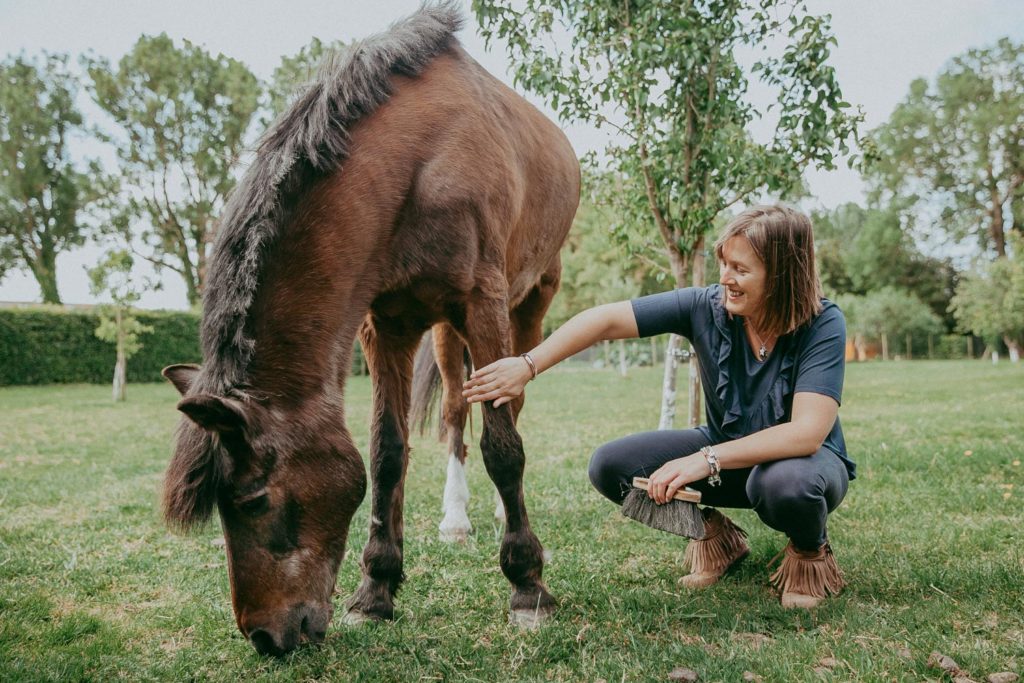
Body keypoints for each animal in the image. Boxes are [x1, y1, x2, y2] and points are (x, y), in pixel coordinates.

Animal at [157, 2, 577, 659]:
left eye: (253, 500)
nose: (265, 637)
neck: (417, 167)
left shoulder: (483, 304)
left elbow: (503, 448)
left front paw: (527, 587)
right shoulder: (386, 325)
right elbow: (386, 453)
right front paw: (377, 590)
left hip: (527, 307)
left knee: (509, 406)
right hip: (444, 334)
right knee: (455, 411)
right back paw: (455, 519)